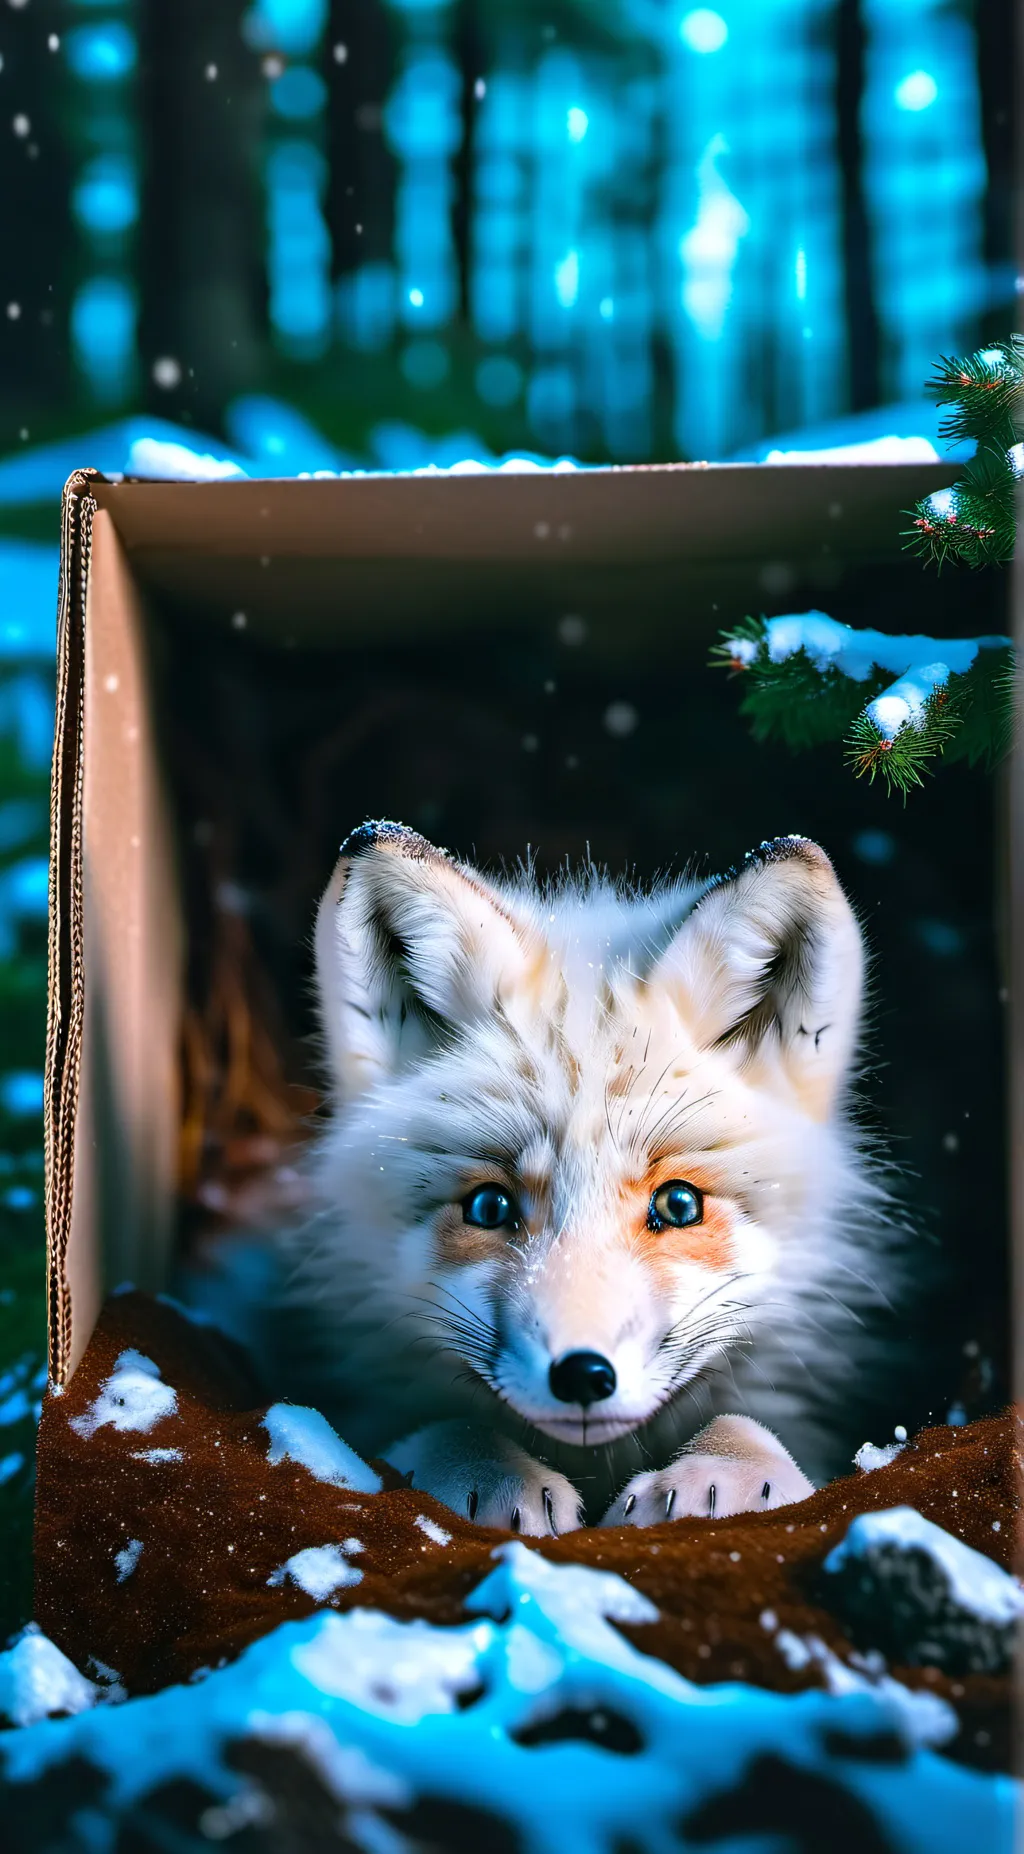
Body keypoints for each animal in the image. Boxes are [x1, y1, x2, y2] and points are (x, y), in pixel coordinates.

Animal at [284, 818, 883, 1535]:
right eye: (489, 1208)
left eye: (679, 1206)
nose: (581, 1376)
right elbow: (448, 1429)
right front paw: (492, 1475)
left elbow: (747, 1427)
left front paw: (722, 1476)